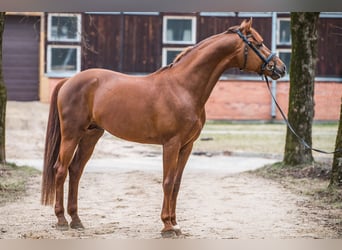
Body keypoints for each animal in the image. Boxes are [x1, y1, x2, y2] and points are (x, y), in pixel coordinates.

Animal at [40, 18, 286, 237]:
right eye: (258, 43)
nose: (281, 68)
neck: (183, 88)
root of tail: (68, 81)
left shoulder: (187, 146)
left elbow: (176, 184)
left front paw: (176, 224)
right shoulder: (171, 144)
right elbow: (167, 182)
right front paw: (167, 227)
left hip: (91, 135)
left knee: (75, 170)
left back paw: (76, 220)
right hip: (72, 135)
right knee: (60, 170)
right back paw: (61, 220)